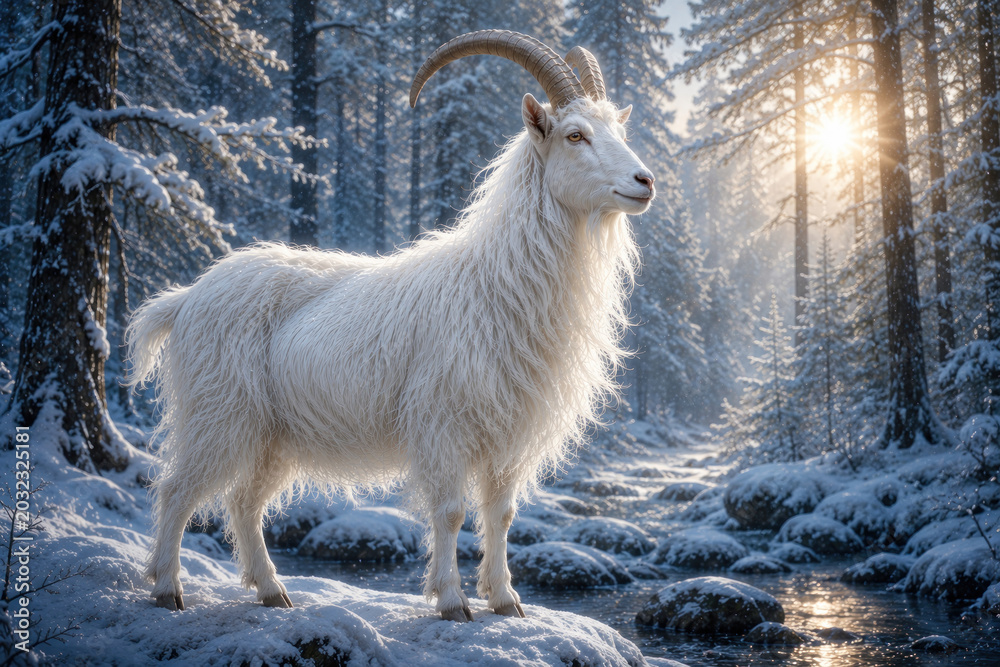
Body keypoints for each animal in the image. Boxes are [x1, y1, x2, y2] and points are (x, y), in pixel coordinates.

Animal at [126, 30, 655, 622]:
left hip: (271, 434)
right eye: (574, 134)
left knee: (244, 501)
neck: (494, 279)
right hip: (219, 412)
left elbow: (500, 514)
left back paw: (272, 591)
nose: (644, 181)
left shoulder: (508, 435)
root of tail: (186, 299)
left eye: (619, 131)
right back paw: (168, 588)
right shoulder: (443, 423)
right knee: (177, 490)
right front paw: (452, 601)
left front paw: (505, 600)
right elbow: (449, 511)